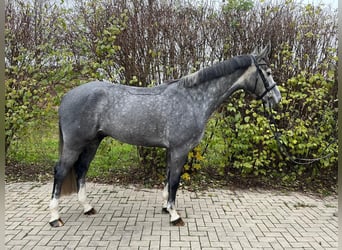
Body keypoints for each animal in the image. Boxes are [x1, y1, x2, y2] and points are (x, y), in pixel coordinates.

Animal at [49, 45, 282, 227]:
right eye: (268, 72)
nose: (276, 98)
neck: (192, 98)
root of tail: (67, 96)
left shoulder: (172, 149)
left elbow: (168, 177)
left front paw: (165, 207)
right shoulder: (180, 149)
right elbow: (175, 181)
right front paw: (175, 215)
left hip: (92, 142)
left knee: (81, 169)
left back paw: (87, 207)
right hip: (74, 144)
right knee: (60, 172)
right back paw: (54, 217)